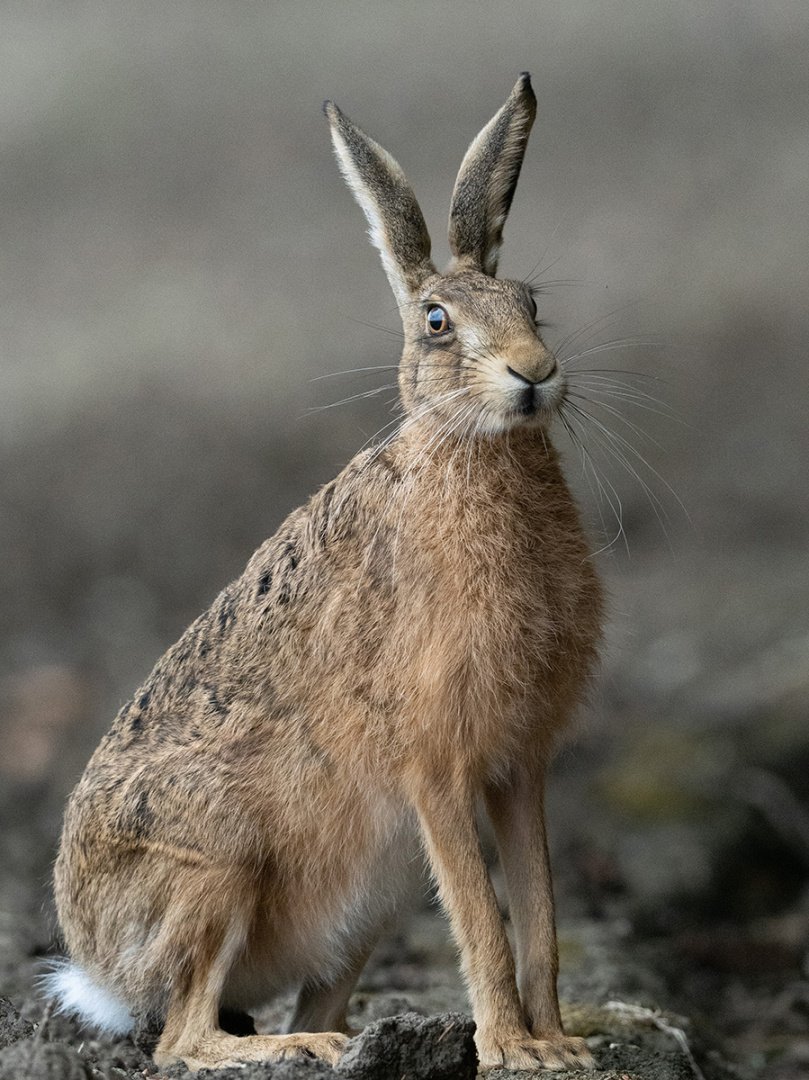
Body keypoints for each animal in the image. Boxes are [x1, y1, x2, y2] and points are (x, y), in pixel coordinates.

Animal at [48, 72, 603, 1072]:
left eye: (532, 303)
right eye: (436, 324)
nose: (533, 373)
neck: (465, 450)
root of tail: (98, 969)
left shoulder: (518, 766)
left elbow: (538, 917)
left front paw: (558, 1044)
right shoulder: (434, 765)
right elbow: (484, 923)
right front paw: (510, 1049)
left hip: (375, 896)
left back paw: (348, 1035)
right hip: (218, 863)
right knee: (182, 1039)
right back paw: (301, 1048)